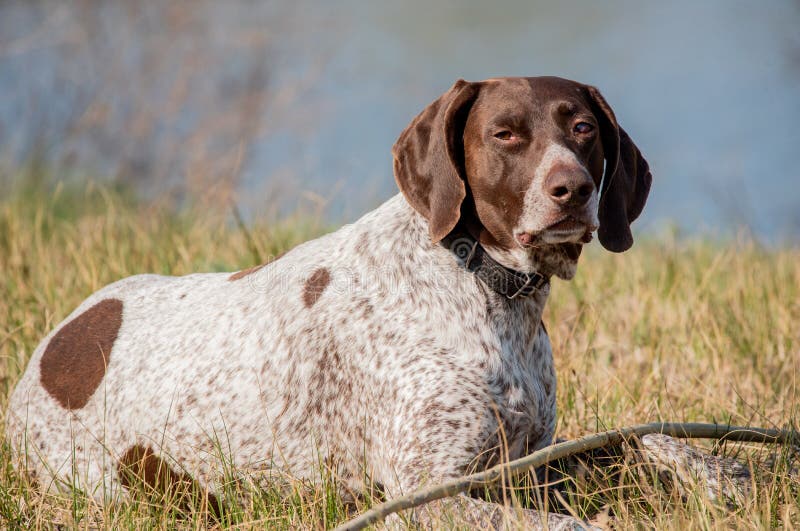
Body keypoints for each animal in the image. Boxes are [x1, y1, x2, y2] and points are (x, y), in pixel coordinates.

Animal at [6, 77, 652, 528]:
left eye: (583, 129)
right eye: (505, 134)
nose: (572, 189)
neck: (479, 281)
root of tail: (47, 354)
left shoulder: (526, 468)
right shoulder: (428, 493)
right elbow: (572, 526)